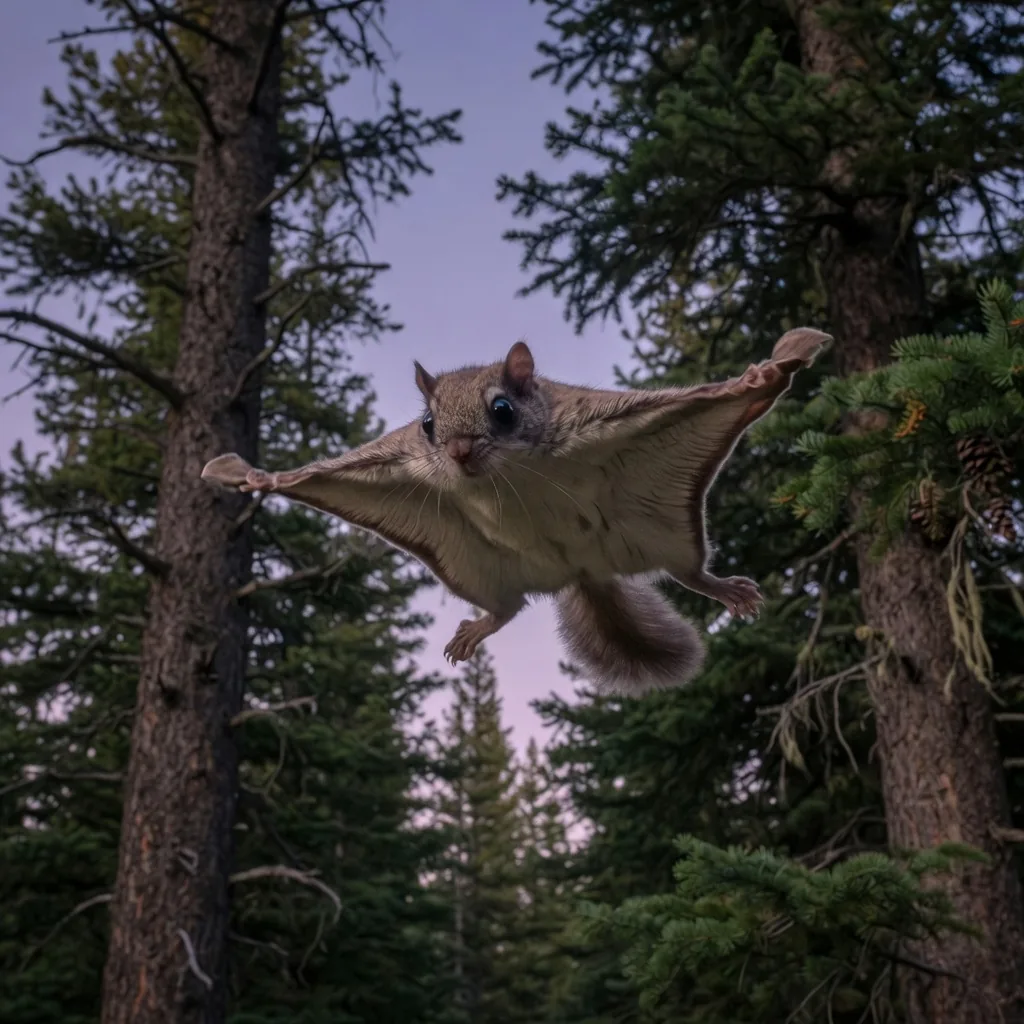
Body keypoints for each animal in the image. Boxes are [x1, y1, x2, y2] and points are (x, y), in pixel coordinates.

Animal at [202, 326, 830, 695]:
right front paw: (252, 475)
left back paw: (726, 589)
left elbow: (737, 390)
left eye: (502, 410)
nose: (458, 452)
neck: (508, 478)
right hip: (475, 568)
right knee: (507, 608)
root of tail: (583, 572)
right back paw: (476, 631)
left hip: (667, 530)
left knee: (689, 571)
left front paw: (772, 367)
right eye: (426, 424)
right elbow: (307, 475)